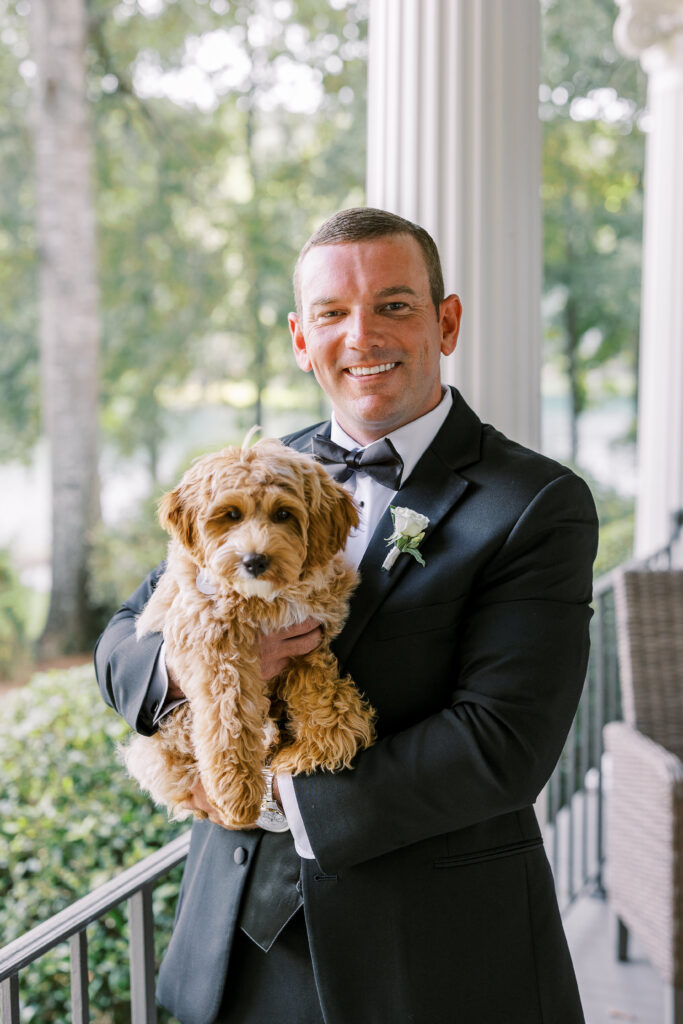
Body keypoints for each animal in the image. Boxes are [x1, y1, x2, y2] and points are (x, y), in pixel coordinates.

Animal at [123, 436, 378, 827]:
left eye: (284, 515)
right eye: (231, 515)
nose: (254, 561)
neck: (264, 598)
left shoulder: (307, 641)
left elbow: (324, 696)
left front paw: (323, 744)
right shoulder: (215, 654)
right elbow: (229, 719)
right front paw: (237, 791)